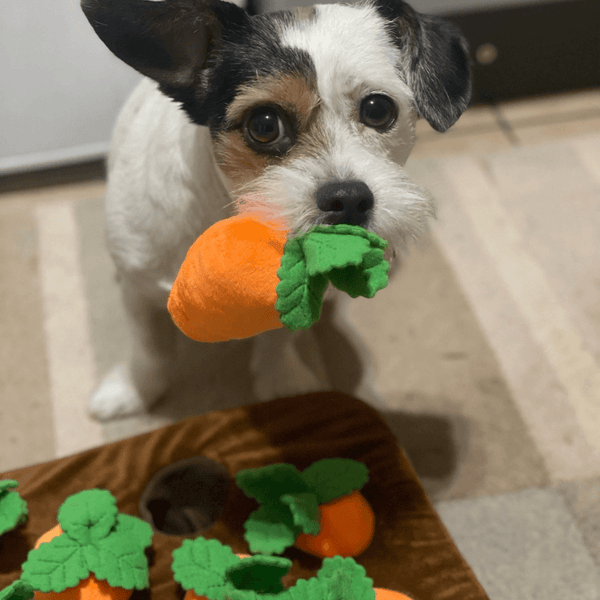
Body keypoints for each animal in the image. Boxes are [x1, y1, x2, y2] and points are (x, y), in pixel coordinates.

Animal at [81, 0, 474, 420]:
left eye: (378, 109)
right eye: (265, 124)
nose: (348, 198)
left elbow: (278, 341)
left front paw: (282, 382)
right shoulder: (139, 290)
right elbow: (150, 349)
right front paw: (134, 390)